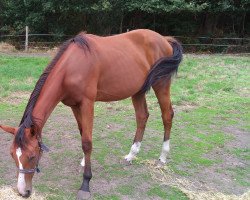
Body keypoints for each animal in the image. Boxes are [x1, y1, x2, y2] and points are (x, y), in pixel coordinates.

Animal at [0, 28, 183, 199]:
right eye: (12, 155)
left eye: (32, 156)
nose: (23, 191)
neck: (71, 67)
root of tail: (164, 39)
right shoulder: (74, 106)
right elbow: (82, 134)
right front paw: (83, 160)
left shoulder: (87, 104)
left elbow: (87, 142)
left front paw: (85, 183)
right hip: (138, 91)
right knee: (142, 117)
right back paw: (131, 155)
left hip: (161, 84)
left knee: (167, 115)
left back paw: (162, 158)